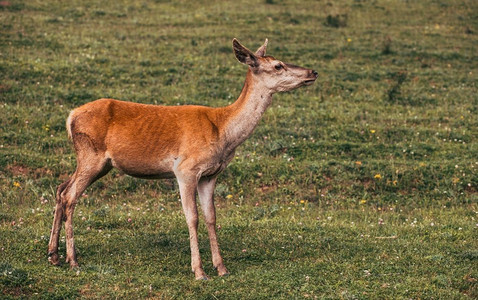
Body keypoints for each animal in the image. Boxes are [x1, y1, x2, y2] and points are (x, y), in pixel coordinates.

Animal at [47, 38, 318, 280]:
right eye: (278, 65)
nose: (313, 72)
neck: (223, 131)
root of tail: (70, 117)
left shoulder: (210, 175)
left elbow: (211, 217)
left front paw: (221, 268)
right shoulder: (185, 169)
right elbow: (193, 217)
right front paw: (199, 271)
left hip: (98, 163)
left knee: (61, 188)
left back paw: (53, 255)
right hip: (91, 155)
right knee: (70, 196)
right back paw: (72, 260)